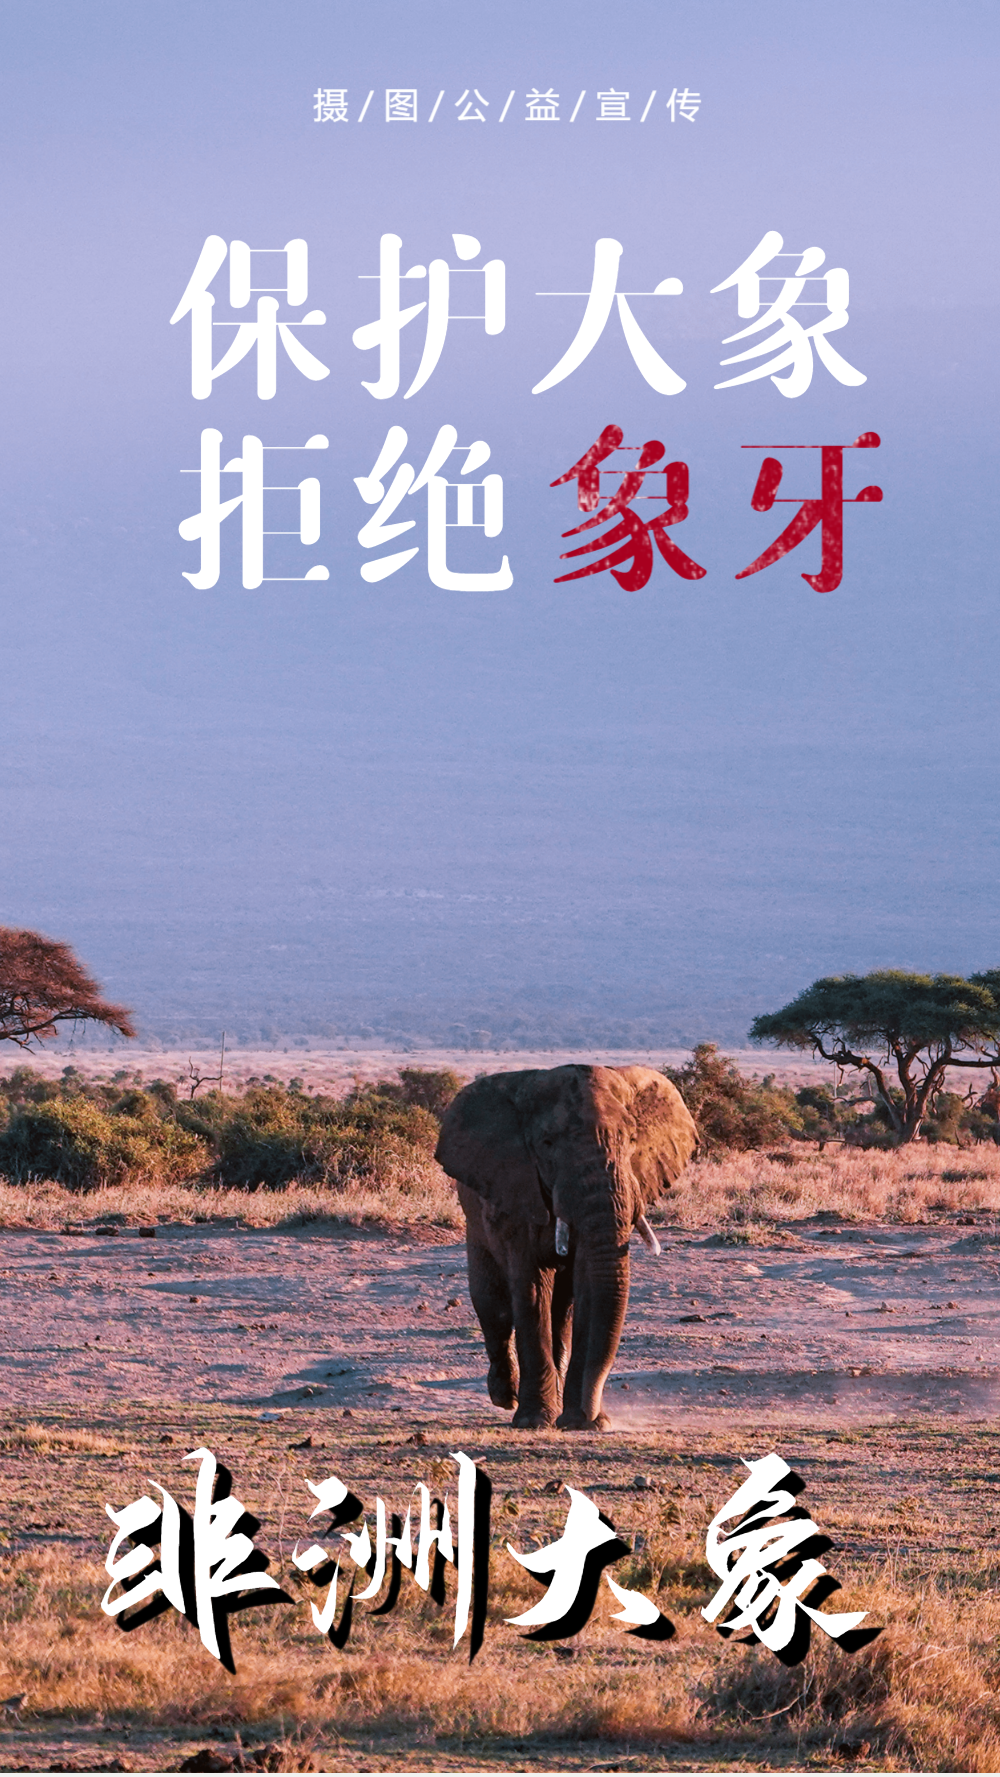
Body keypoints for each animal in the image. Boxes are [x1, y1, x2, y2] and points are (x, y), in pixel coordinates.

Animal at [434, 1064, 697, 1431]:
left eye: (631, 1140)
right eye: (546, 1144)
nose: (589, 1416)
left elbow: (587, 1284)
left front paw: (584, 1421)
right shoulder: (516, 1190)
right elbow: (530, 1289)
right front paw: (534, 1421)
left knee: (561, 1312)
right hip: (475, 1219)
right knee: (493, 1305)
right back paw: (506, 1398)